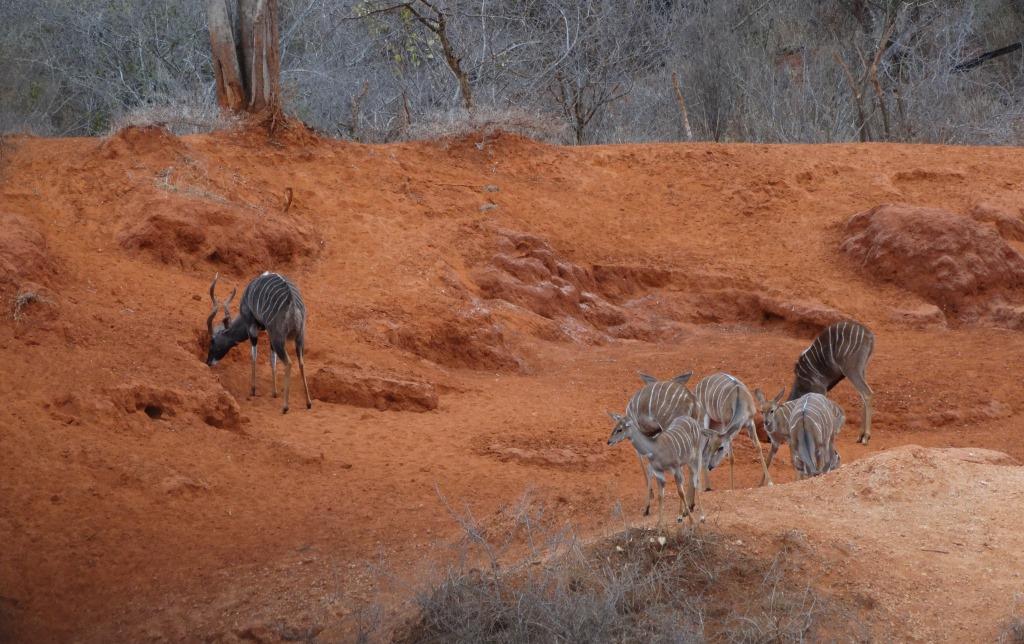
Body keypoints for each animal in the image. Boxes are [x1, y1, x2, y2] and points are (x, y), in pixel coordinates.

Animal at [206, 270, 311, 411]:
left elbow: (253, 355)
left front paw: (253, 390)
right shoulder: (269, 334)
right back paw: (308, 403)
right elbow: (272, 359)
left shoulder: (252, 327)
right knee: (301, 362)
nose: (208, 362)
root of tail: (293, 304)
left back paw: (285, 406)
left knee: (288, 363)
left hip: (279, 338)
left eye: (212, 341)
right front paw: (274, 392)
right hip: (299, 337)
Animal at [606, 368, 704, 513]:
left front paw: (648, 503)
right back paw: (690, 506)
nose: (609, 441)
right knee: (693, 465)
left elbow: (645, 464)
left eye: (619, 429)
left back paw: (683, 510)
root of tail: (691, 400)